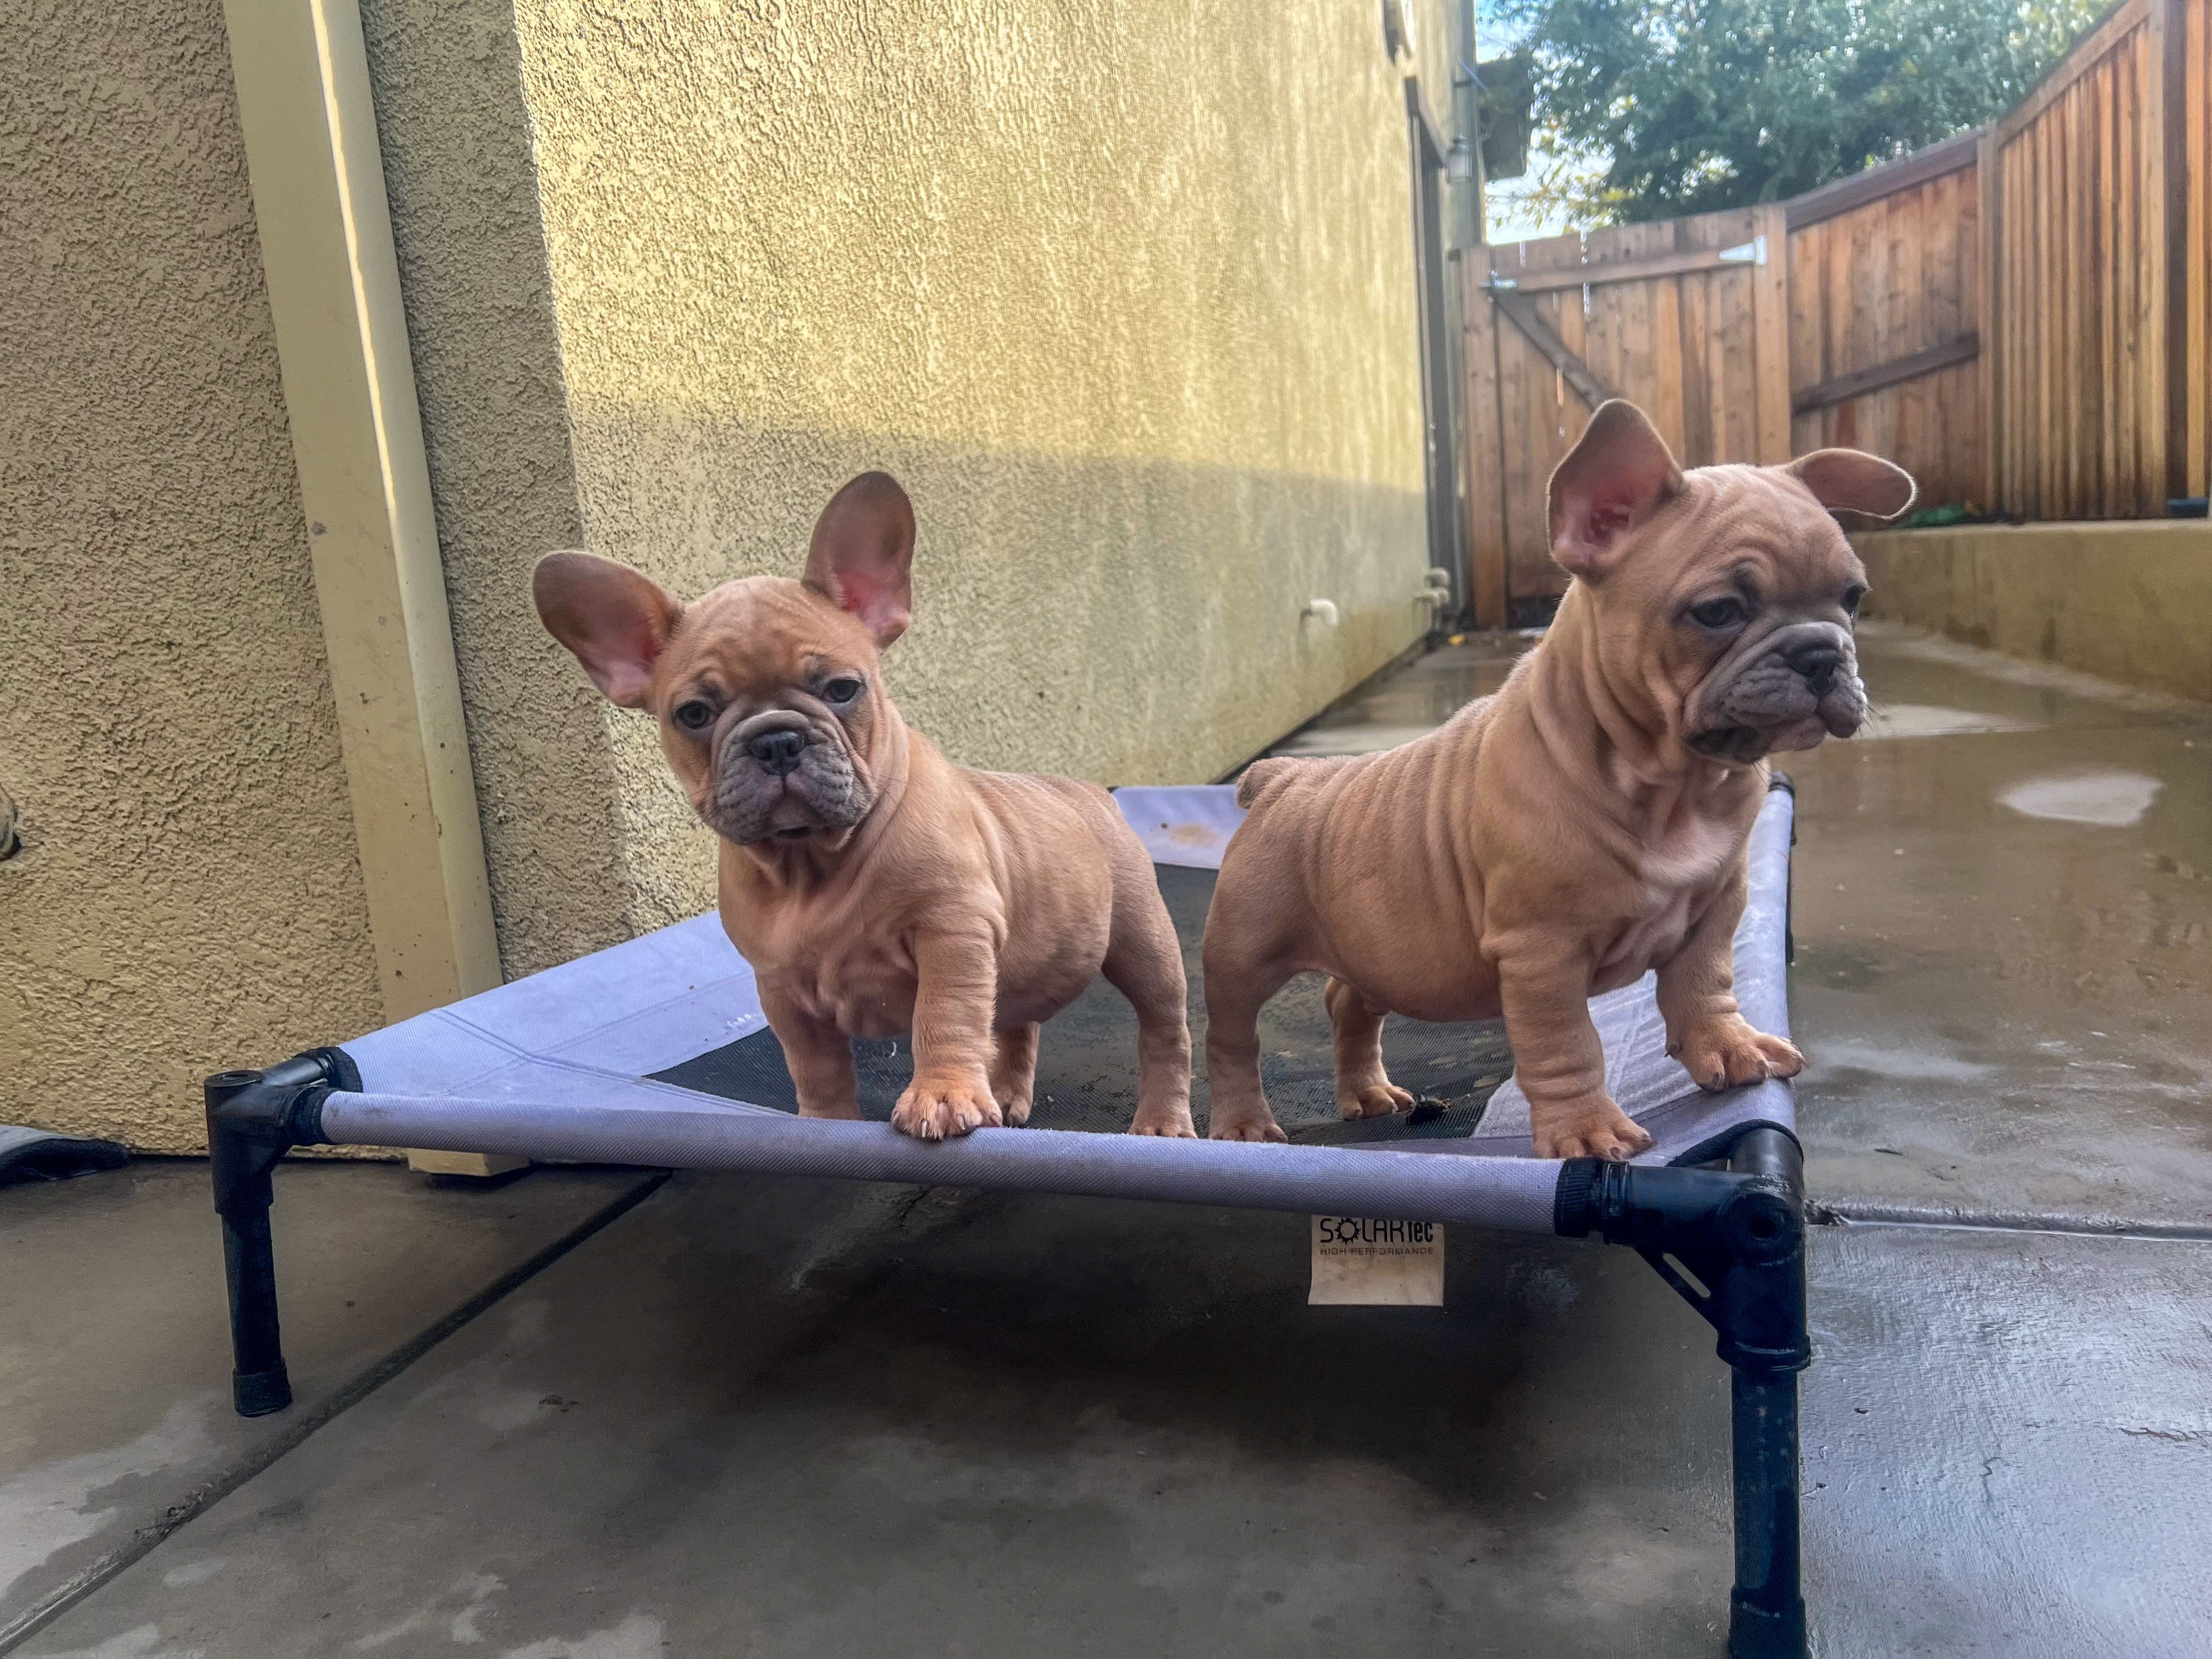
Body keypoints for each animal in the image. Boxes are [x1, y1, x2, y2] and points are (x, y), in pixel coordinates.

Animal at [534, 472, 1195, 1141]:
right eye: (694, 714)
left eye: (842, 689)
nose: (776, 740)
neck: (810, 861)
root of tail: (1084, 789)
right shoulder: (780, 984)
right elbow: (813, 1060)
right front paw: (826, 1123)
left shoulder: (951, 930)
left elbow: (944, 1014)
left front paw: (943, 1094)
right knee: (1017, 1019)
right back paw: (1008, 1093)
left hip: (1144, 941)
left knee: (1164, 1030)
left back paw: (1162, 1122)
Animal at [1201, 400, 1912, 1157]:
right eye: (1718, 611)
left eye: (1853, 598)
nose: (1822, 653)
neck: (1673, 782)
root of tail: (1285, 779)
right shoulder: (1542, 953)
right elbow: (1568, 1045)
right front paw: (1586, 1128)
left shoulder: (1716, 907)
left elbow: (1705, 984)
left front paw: (1728, 1046)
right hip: (1243, 957)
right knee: (1232, 1039)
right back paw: (1243, 1124)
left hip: (1375, 949)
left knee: (1350, 1002)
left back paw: (1365, 1093)